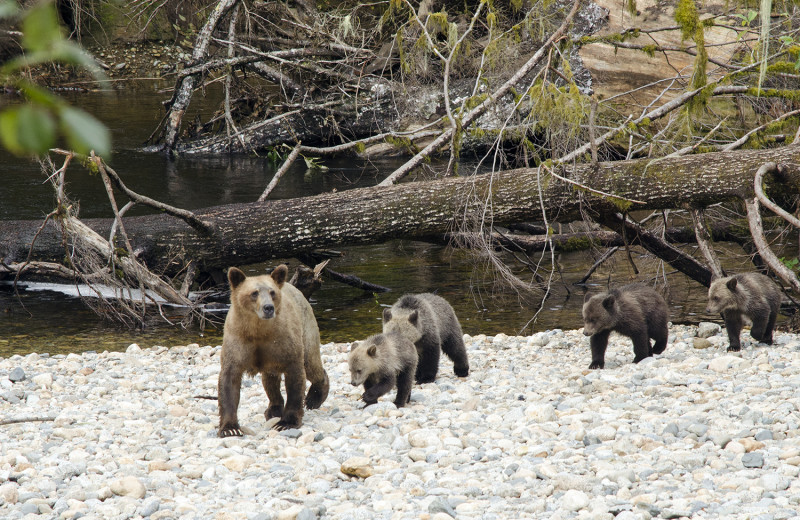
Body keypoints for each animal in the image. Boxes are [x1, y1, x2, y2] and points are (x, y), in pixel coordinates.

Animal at [217, 262, 330, 436]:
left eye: (272, 292)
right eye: (254, 293)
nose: (268, 307)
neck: (259, 331)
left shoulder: (284, 343)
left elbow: (296, 378)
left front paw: (286, 423)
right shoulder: (237, 342)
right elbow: (229, 380)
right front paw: (230, 428)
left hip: (306, 328)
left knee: (311, 363)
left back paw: (314, 397)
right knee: (270, 379)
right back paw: (273, 408)